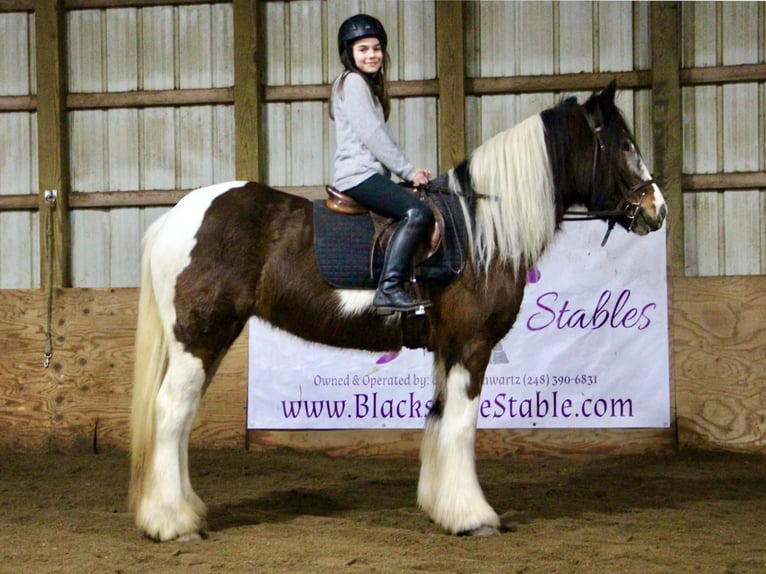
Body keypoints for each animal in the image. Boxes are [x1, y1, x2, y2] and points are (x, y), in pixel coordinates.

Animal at [130, 83, 664, 544]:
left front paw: (442, 506)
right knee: (172, 412)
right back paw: (172, 522)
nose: (656, 210)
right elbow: (462, 426)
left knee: (181, 417)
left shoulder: (447, 347)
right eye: (623, 145)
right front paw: (473, 517)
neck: (477, 232)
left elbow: (439, 418)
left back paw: (187, 512)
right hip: (199, 335)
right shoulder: (471, 345)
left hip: (208, 339)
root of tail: (176, 216)